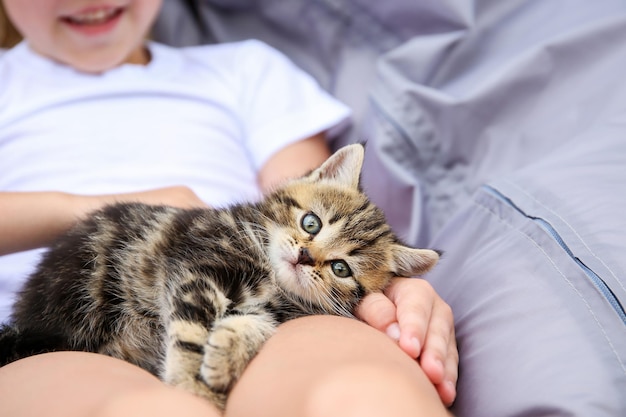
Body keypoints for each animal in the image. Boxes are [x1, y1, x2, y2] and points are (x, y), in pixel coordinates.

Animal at [0, 144, 438, 410]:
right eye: (311, 222)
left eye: (341, 268)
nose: (304, 256)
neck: (270, 276)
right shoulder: (195, 268)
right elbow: (190, 330)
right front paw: (191, 384)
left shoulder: (274, 310)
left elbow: (256, 325)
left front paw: (225, 354)